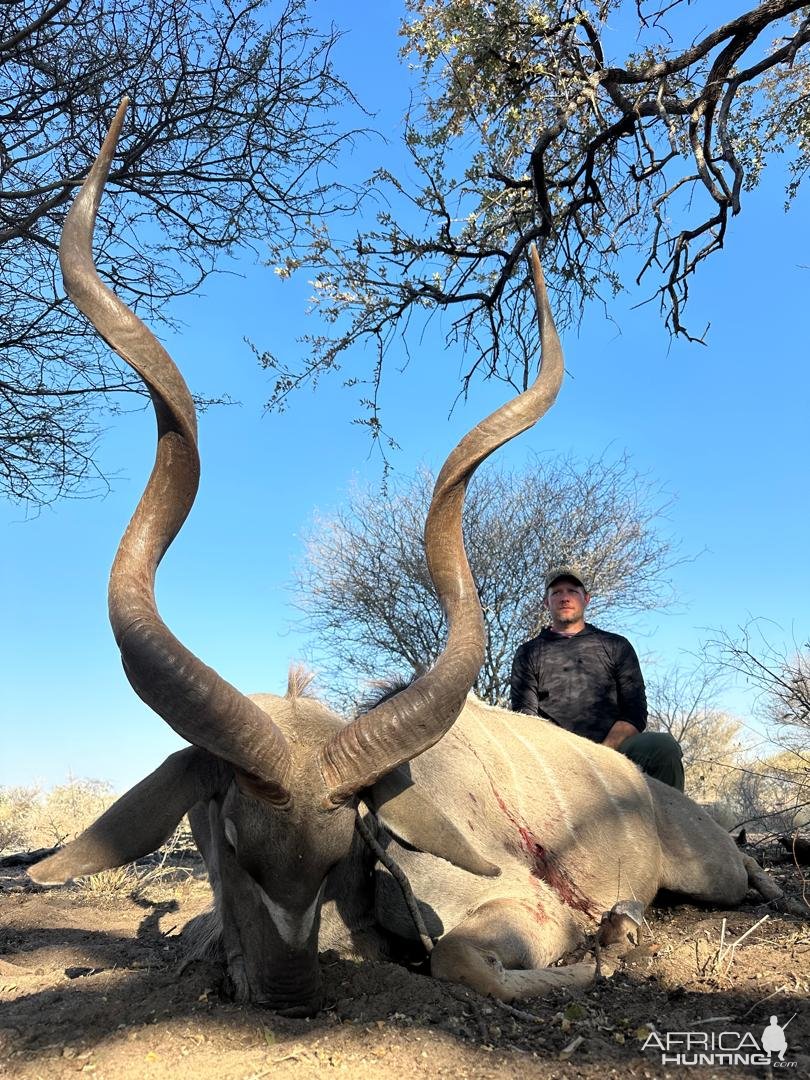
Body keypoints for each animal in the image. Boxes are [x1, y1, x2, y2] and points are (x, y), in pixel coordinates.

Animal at [30, 99, 781, 1010]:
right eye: (232, 846)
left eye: (340, 848)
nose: (289, 991)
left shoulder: (518, 907)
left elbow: (462, 958)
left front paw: (607, 949)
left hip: (710, 870)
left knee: (743, 874)